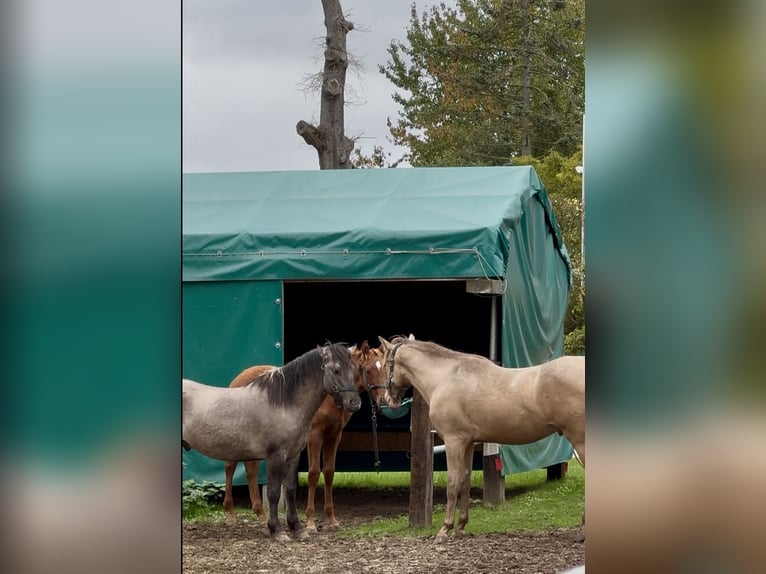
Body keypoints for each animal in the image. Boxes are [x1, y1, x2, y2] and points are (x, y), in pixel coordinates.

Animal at [182, 343, 361, 541]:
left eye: (354, 369)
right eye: (336, 370)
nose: (354, 403)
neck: (285, 404)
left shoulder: (293, 456)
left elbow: (290, 490)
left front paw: (297, 528)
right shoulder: (276, 456)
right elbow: (274, 492)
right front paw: (277, 530)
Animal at [220, 342, 389, 531]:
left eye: (385, 368)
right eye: (367, 370)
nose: (383, 400)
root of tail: (239, 378)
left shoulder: (334, 436)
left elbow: (329, 472)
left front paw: (332, 519)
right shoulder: (314, 436)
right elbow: (313, 473)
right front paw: (310, 521)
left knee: (251, 469)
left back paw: (261, 516)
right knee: (230, 466)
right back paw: (230, 513)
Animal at [378, 335, 585, 544]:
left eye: (386, 364)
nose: (388, 399)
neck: (445, 377)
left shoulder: (454, 441)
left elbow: (453, 484)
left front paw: (444, 529)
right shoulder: (468, 443)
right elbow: (465, 482)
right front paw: (460, 526)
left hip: (580, 442)